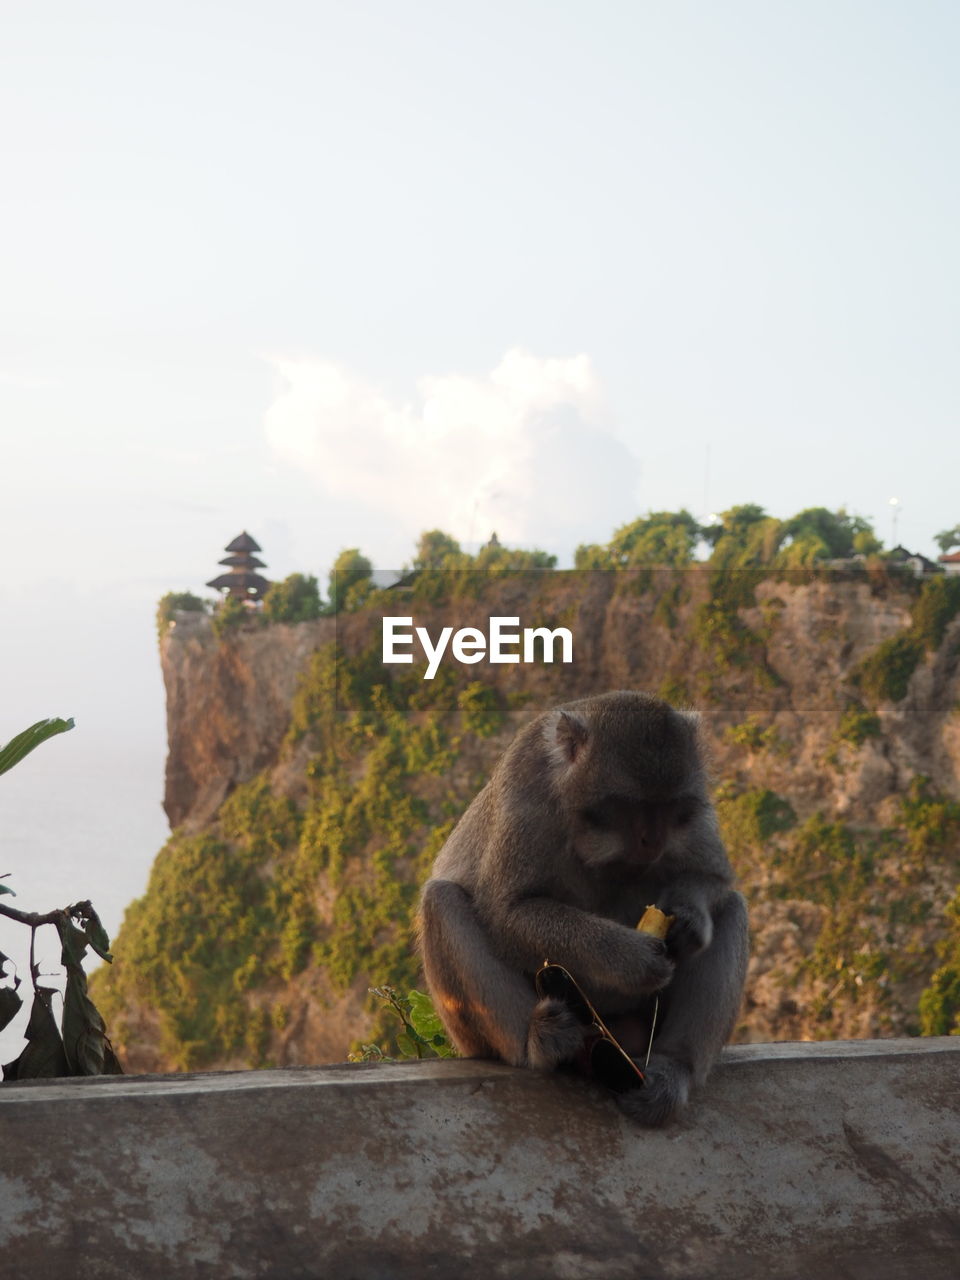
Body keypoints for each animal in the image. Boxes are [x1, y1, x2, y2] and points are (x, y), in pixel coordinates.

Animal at [419, 696, 752, 1126]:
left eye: (669, 807)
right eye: (627, 806)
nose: (652, 840)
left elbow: (711, 875)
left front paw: (689, 921)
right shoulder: (526, 799)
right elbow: (507, 912)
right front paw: (631, 958)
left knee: (732, 907)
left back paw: (673, 1067)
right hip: (473, 1035)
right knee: (441, 901)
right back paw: (535, 1044)